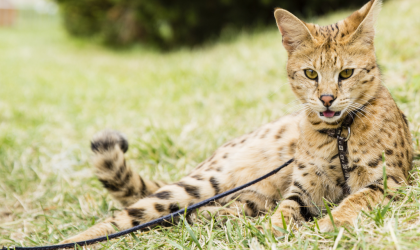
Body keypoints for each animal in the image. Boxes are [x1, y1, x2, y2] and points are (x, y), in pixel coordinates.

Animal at [60, 0, 412, 243]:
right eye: (311, 74)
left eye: (346, 73)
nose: (326, 99)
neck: (337, 133)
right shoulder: (303, 189)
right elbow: (287, 210)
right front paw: (276, 230)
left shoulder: (390, 182)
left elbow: (354, 200)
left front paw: (329, 224)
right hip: (202, 183)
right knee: (122, 220)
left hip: (249, 195)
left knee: (212, 211)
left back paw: (216, 217)